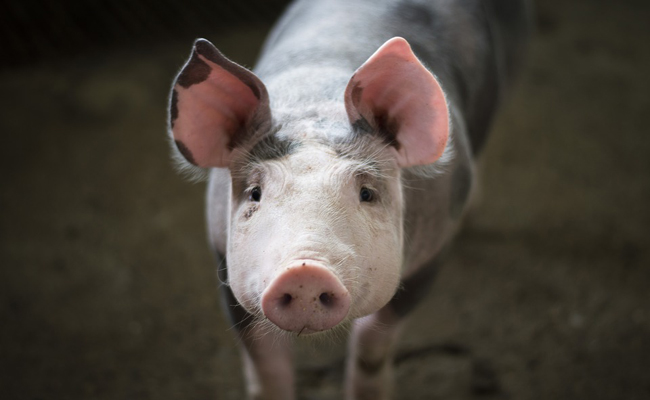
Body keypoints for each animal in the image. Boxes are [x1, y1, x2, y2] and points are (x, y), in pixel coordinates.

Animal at [168, 0, 532, 400]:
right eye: (255, 193)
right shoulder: (223, 259)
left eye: (366, 193)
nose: (305, 271)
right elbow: (266, 364)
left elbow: (372, 346)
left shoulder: (431, 254)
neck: (316, 102)